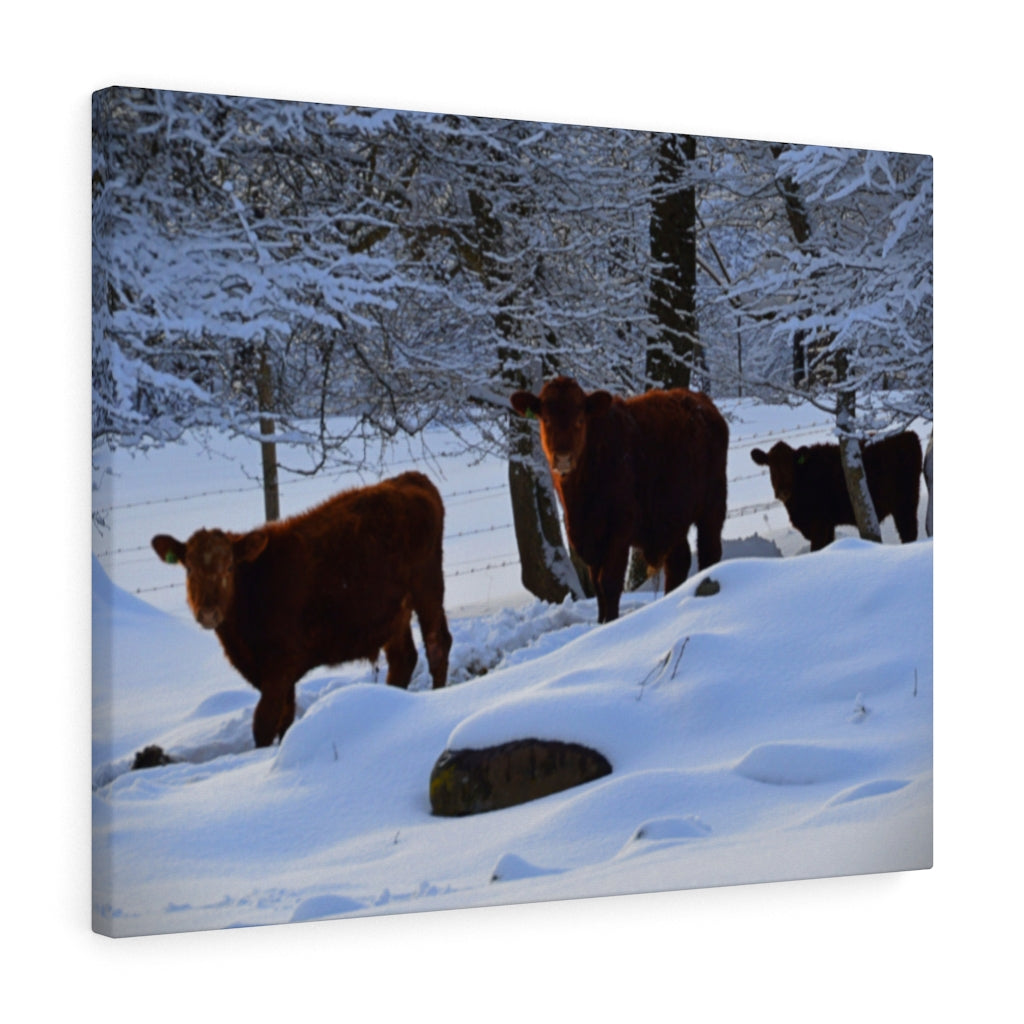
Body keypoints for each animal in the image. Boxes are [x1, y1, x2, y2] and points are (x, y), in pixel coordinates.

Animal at [151, 471, 452, 748]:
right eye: (189, 568)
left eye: (229, 567)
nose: (208, 612)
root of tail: (409, 478)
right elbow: (285, 720)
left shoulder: (280, 665)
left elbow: (264, 726)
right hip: (393, 614)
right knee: (404, 658)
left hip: (427, 587)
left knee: (437, 645)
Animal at [511, 376, 729, 624]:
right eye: (545, 420)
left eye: (579, 420)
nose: (563, 458)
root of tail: (701, 401)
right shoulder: (589, 538)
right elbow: (597, 587)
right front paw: (600, 623)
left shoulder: (619, 530)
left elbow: (610, 583)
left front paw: (612, 623)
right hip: (673, 517)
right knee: (678, 562)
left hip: (713, 507)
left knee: (709, 552)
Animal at [750, 432, 923, 552]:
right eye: (771, 466)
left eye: (790, 464)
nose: (782, 491)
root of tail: (908, 434)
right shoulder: (827, 525)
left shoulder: (819, 524)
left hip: (905, 502)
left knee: (908, 531)